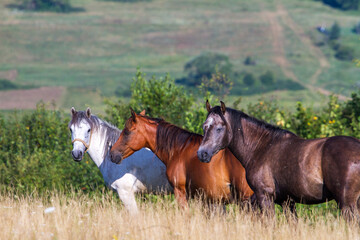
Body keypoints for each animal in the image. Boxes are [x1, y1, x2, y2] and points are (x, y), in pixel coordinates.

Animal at [197, 100, 360, 220]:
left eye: (219, 128)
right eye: (205, 126)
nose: (202, 154)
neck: (261, 147)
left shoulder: (265, 197)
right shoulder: (287, 202)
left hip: (347, 204)